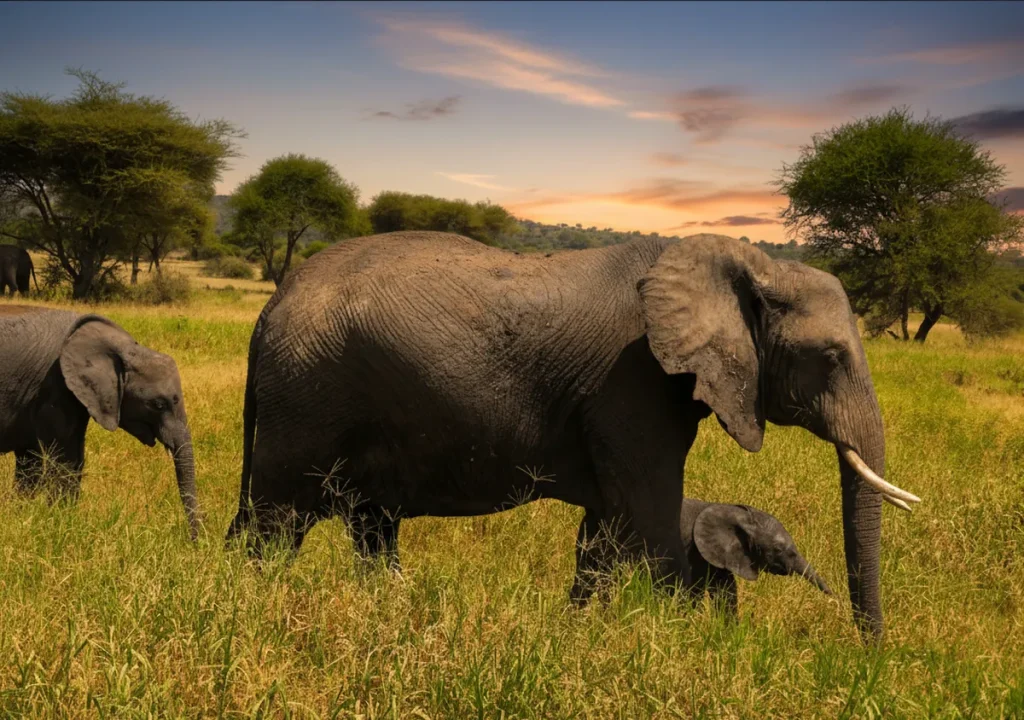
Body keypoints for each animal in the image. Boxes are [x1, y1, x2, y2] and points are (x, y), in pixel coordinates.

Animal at [0, 305, 201, 540]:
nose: (194, 541)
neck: (121, 346)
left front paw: (27, 518)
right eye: (158, 404)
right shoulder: (54, 388)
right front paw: (59, 526)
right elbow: (64, 461)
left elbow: (40, 461)